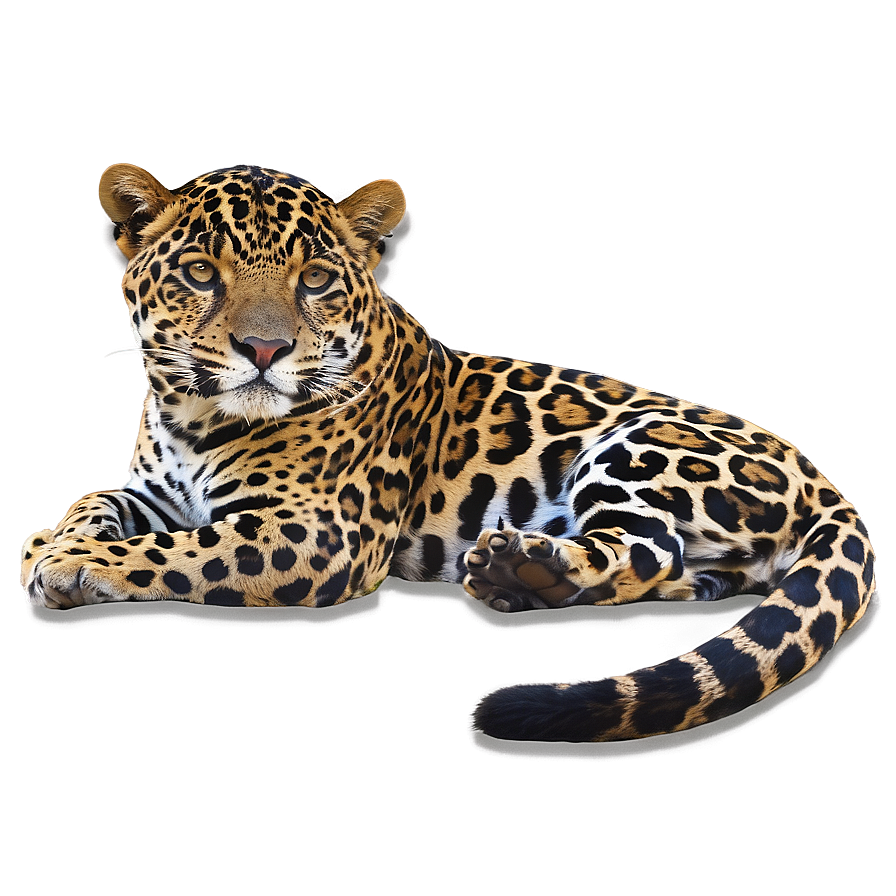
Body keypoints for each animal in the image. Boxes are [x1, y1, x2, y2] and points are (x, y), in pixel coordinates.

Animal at [21, 163, 875, 743]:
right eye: (201, 272)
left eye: (316, 279)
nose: (264, 352)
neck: (196, 417)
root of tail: (813, 470)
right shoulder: (155, 488)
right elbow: (99, 500)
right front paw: (50, 541)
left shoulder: (320, 534)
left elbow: (180, 552)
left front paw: (74, 565)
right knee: (688, 576)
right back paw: (522, 580)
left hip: (633, 442)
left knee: (647, 548)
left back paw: (522, 565)